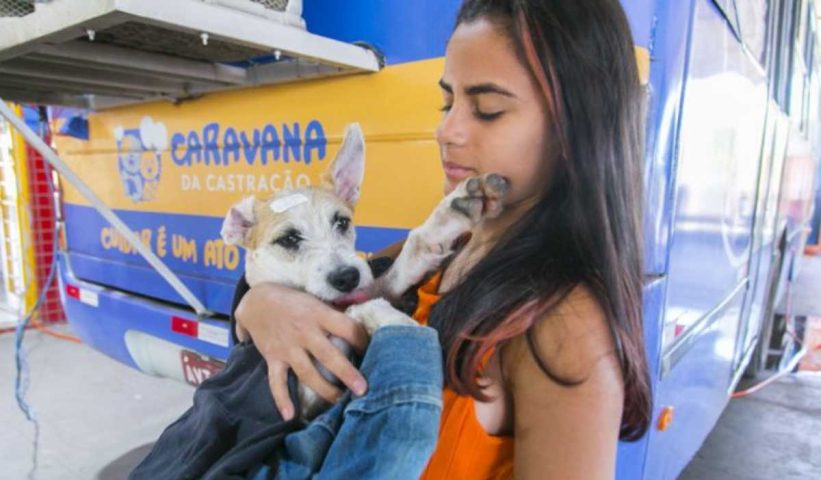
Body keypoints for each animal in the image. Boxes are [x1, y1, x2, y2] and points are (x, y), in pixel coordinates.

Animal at [221, 123, 508, 419]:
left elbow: (407, 258)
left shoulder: (372, 285)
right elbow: (358, 311)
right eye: (288, 239)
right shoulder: (307, 391)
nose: (347, 277)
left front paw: (453, 211)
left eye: (342, 222)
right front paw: (400, 325)